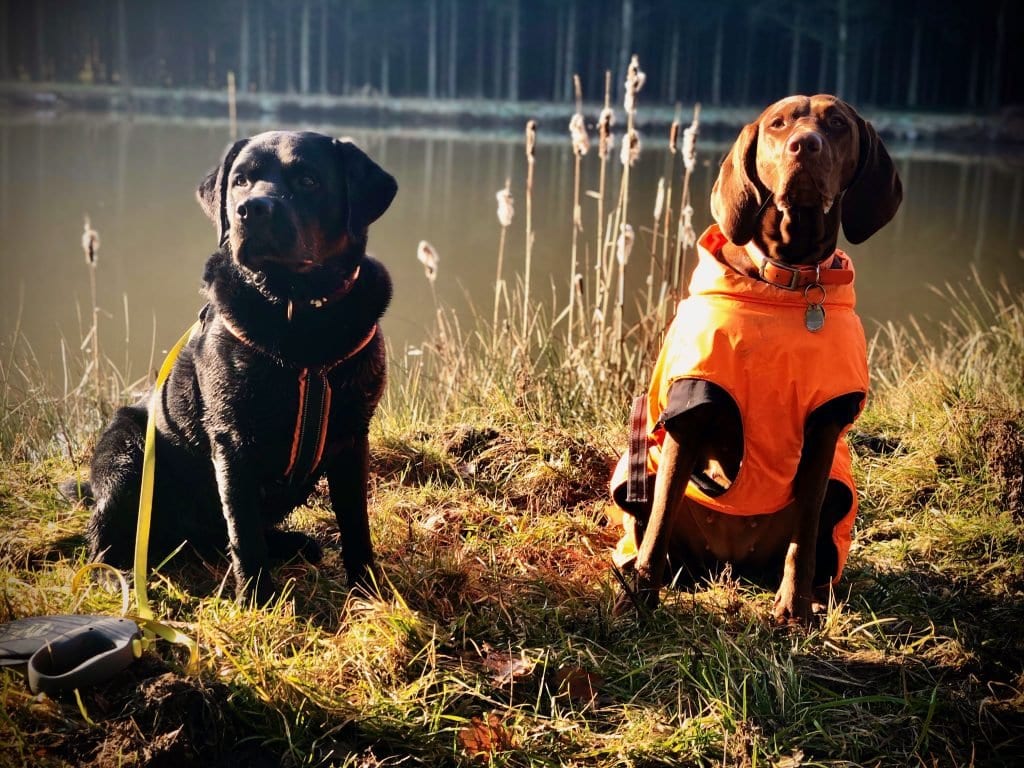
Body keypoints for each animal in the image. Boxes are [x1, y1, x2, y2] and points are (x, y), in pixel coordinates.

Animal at [83, 129, 397, 606]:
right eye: (240, 181)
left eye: (308, 180)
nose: (251, 209)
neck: (298, 312)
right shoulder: (233, 441)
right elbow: (244, 535)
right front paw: (258, 602)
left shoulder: (351, 437)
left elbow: (355, 524)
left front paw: (368, 590)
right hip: (129, 450)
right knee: (105, 536)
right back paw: (116, 578)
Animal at [610, 94, 901, 626]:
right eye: (778, 124)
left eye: (837, 122)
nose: (804, 145)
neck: (785, 281)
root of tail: (729, 562)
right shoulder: (691, 413)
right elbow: (659, 521)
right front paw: (637, 599)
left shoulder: (825, 427)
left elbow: (802, 538)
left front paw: (794, 609)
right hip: (639, 477)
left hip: (838, 493)